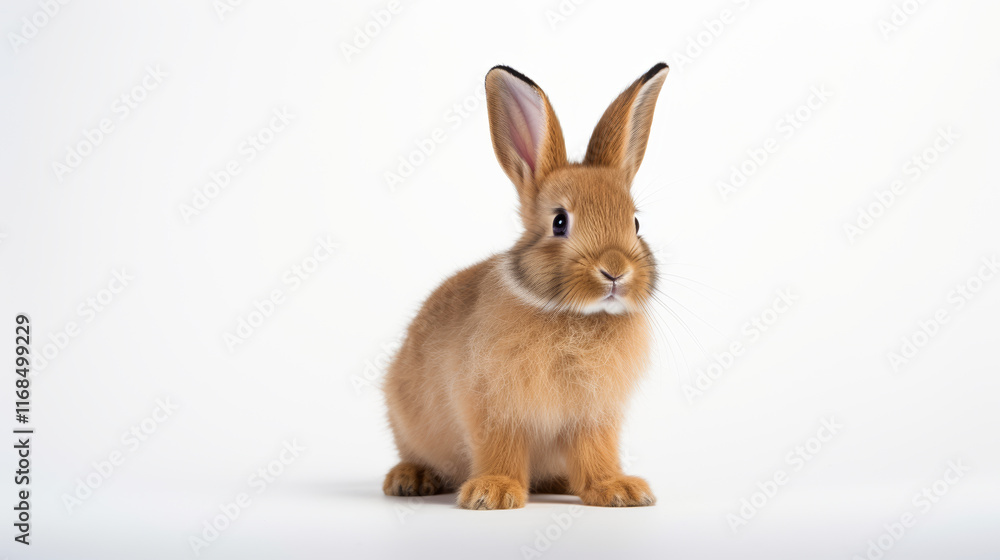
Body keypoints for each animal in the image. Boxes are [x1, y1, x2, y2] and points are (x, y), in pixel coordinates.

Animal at [382, 62, 669, 509]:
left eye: (636, 223)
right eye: (559, 222)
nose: (615, 271)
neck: (573, 315)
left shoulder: (593, 415)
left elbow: (597, 453)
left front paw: (617, 489)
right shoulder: (493, 406)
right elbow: (500, 447)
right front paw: (493, 493)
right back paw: (409, 479)